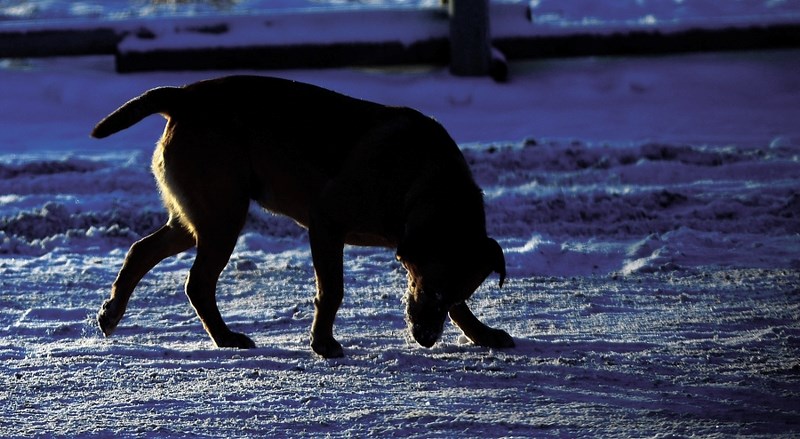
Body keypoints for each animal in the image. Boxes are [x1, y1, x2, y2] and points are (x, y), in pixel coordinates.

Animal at [89, 75, 512, 358]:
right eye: (433, 290)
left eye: (452, 292)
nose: (425, 338)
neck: (424, 180)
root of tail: (184, 96)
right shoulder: (326, 225)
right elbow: (332, 291)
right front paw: (322, 343)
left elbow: (461, 309)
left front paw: (481, 333)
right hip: (223, 217)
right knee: (197, 284)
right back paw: (226, 338)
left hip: (198, 218)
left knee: (141, 251)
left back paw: (111, 313)